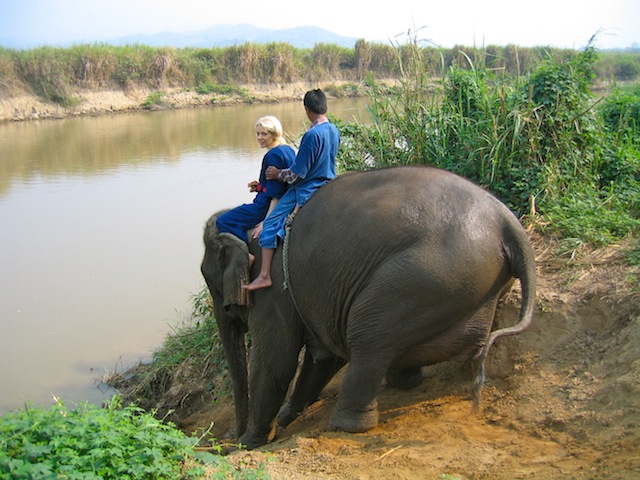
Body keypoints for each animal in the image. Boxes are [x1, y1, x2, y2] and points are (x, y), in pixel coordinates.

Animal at [201, 165, 536, 450]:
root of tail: (508, 223)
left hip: (427, 275)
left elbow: (276, 360)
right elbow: (322, 359)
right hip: (470, 282)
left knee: (368, 339)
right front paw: (284, 417)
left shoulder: (272, 287)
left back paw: (346, 424)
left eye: (214, 288)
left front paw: (250, 443)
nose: (228, 440)